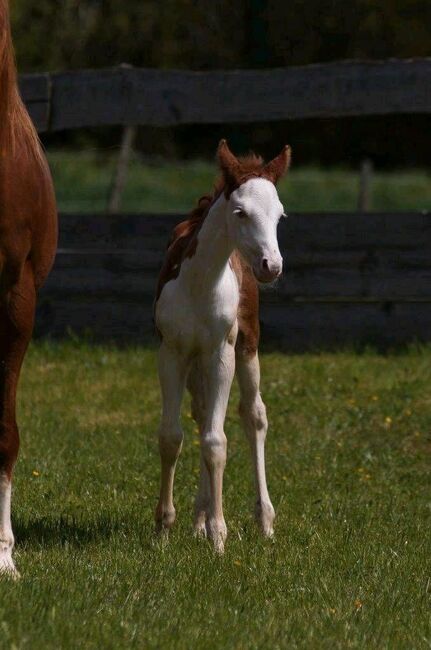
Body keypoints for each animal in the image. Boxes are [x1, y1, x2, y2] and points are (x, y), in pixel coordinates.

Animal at [154, 139, 292, 548]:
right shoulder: (172, 352)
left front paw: (219, 536)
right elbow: (172, 436)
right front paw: (164, 527)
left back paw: (262, 521)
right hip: (195, 361)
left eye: (279, 216)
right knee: (202, 417)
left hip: (246, 347)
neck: (199, 284)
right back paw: (198, 519)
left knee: (253, 415)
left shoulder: (221, 353)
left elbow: (217, 442)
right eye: (241, 212)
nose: (271, 266)